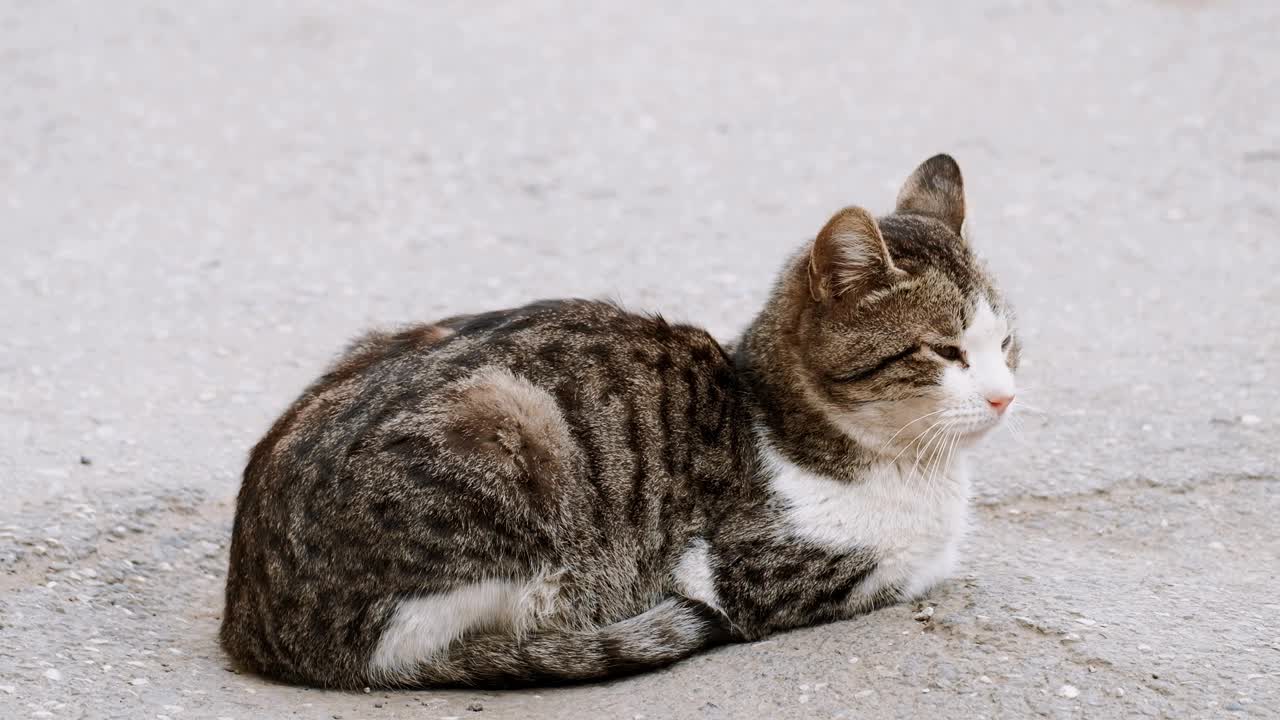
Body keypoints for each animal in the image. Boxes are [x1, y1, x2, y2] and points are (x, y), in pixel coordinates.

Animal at [220, 154, 1018, 686]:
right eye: (945, 351)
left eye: (1005, 342)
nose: (1005, 396)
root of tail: (251, 620)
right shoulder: (744, 572)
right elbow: (905, 568)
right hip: (509, 432)